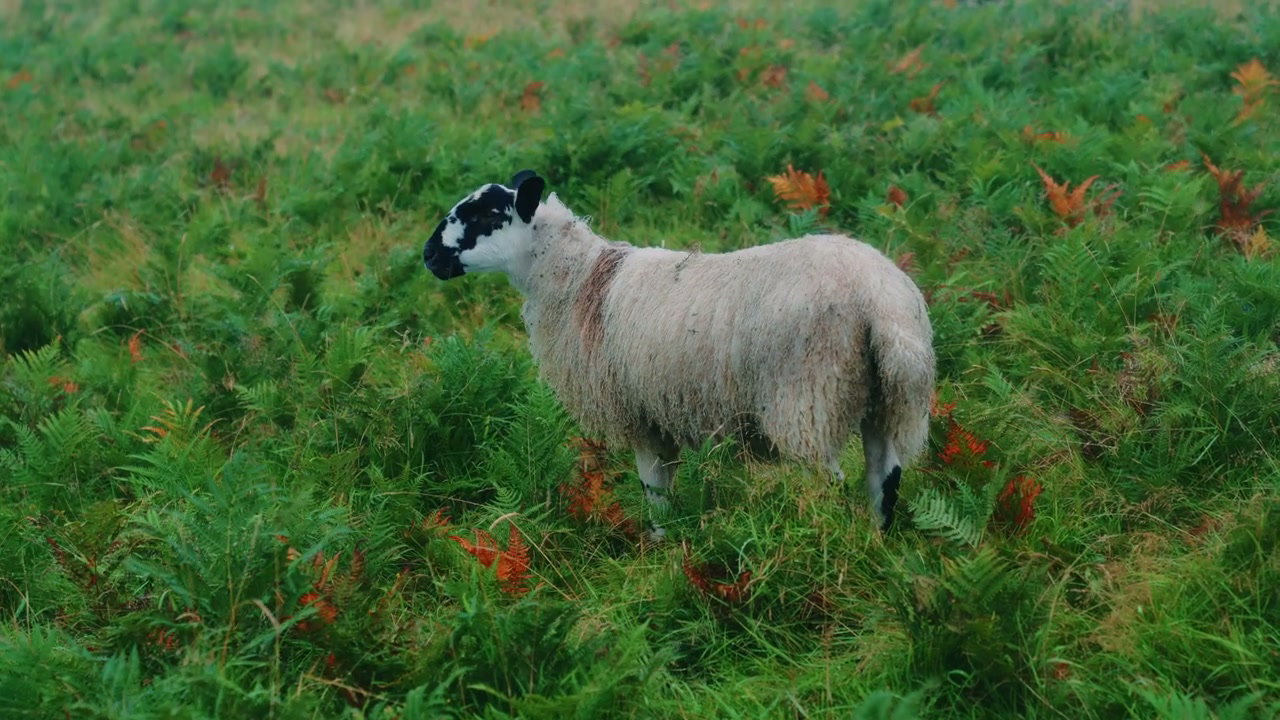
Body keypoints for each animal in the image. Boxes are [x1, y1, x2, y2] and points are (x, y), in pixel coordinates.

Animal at [422, 170, 935, 538]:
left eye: (486, 216)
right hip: (884, 397)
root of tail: (881, 299)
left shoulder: (639, 412)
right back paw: (877, 541)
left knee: (830, 481)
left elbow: (654, 491)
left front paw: (660, 547)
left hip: (807, 396)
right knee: (885, 478)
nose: (429, 256)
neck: (582, 283)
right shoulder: (659, 411)